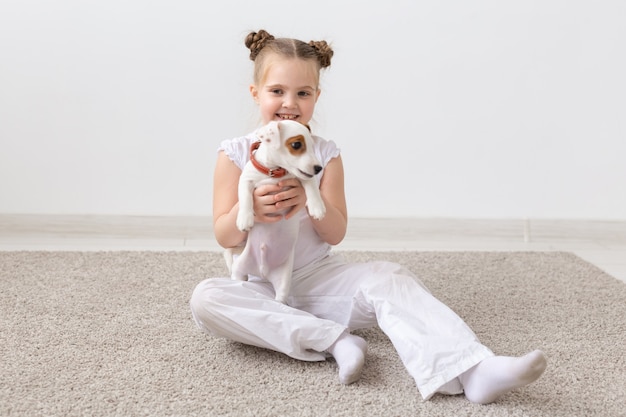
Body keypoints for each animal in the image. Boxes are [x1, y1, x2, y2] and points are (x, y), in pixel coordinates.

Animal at [225, 119, 326, 302]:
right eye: (296, 144)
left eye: (312, 145)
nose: (318, 168)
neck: (274, 172)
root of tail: (262, 272)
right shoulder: (246, 179)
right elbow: (245, 197)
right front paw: (245, 219)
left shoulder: (303, 177)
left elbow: (312, 185)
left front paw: (317, 207)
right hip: (239, 271)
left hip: (283, 282)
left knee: (280, 300)